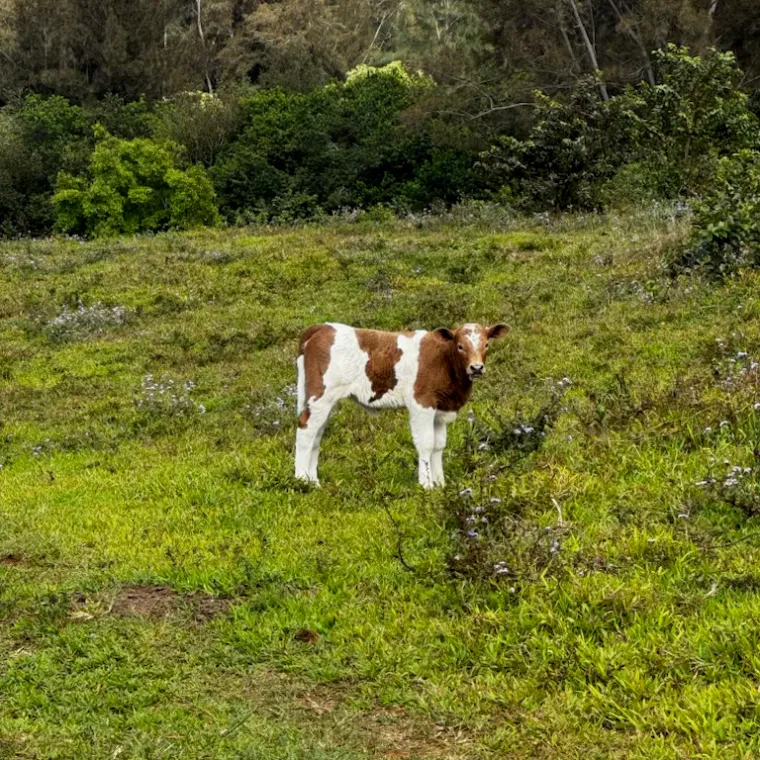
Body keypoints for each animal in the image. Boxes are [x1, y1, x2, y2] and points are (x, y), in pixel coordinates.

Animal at [294, 322, 510, 488]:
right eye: (460, 346)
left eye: (486, 344)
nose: (476, 367)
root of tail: (322, 327)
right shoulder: (421, 402)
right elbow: (426, 443)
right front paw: (426, 485)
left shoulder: (441, 409)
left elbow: (439, 445)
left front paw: (440, 484)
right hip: (321, 395)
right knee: (306, 429)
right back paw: (301, 480)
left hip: (325, 401)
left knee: (317, 434)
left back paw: (313, 481)